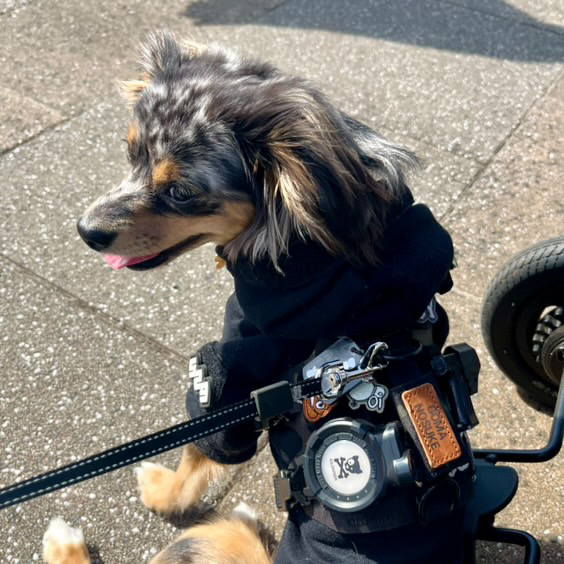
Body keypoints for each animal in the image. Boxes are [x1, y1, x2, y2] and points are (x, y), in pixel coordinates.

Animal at [49, 31, 463, 563]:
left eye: (181, 191)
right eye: (130, 153)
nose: (86, 231)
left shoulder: (233, 374)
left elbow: (198, 451)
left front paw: (160, 492)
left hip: (212, 538)